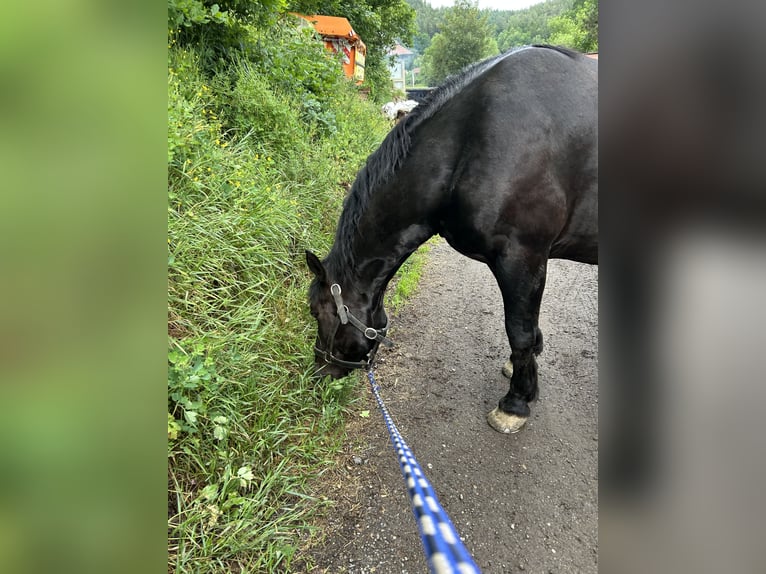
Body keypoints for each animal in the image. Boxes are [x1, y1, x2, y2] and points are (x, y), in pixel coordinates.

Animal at [306, 45, 597, 434]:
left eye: (314, 310)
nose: (321, 372)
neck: (473, 139)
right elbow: (528, 330)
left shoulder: (523, 257)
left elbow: (518, 330)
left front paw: (515, 402)